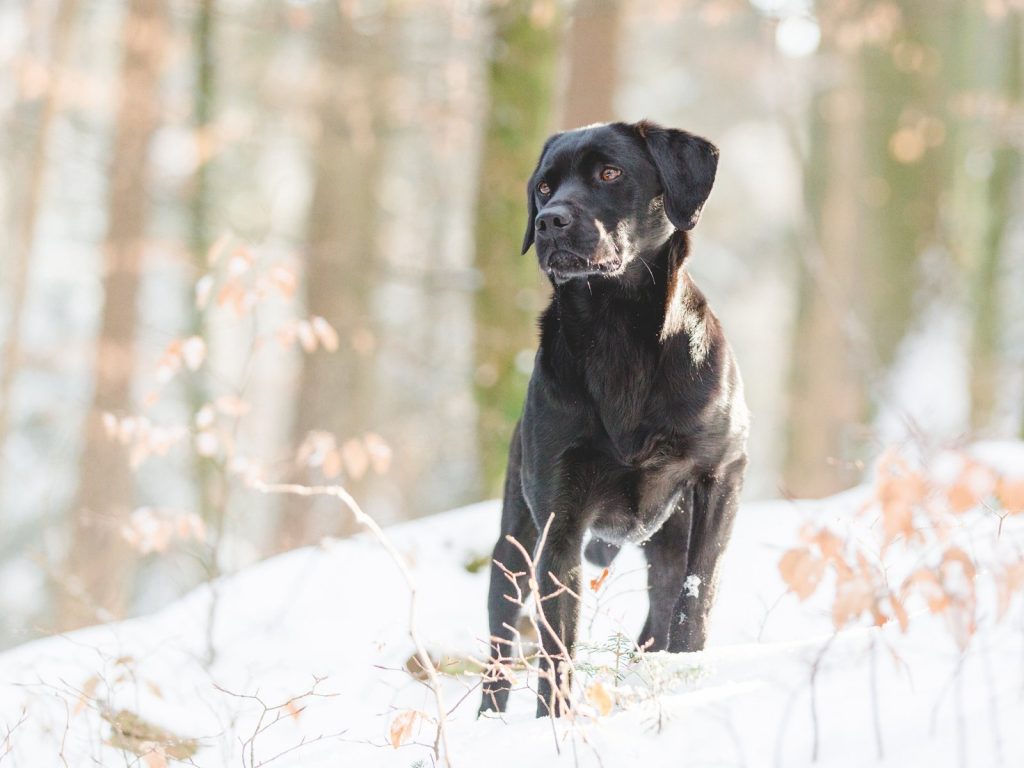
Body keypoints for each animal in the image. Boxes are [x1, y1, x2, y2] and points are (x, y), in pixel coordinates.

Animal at [475, 118, 749, 716]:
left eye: (609, 172)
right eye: (545, 187)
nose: (549, 221)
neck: (616, 334)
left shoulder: (722, 475)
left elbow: (697, 596)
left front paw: (689, 675)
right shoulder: (560, 522)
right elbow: (556, 647)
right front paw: (552, 723)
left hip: (667, 537)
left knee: (660, 612)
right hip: (513, 544)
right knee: (501, 638)